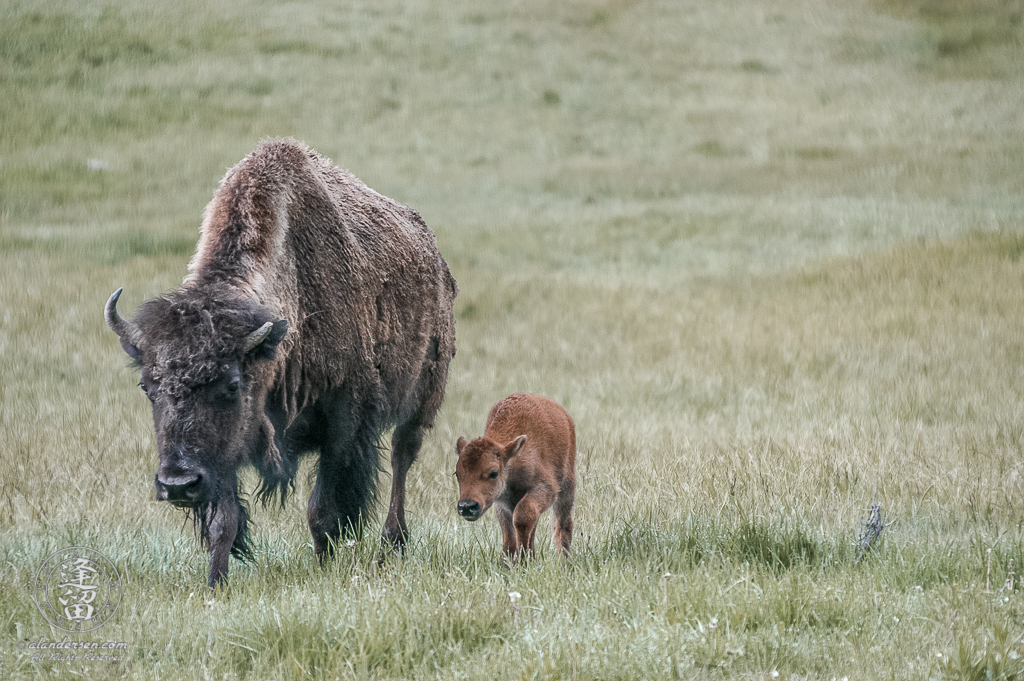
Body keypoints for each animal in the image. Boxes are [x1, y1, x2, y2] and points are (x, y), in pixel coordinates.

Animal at [104, 137, 456, 585]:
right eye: (147, 387)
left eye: (232, 385)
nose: (178, 484)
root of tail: (433, 255)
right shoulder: (224, 455)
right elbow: (224, 520)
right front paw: (215, 582)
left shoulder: (344, 423)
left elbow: (323, 511)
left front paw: (324, 567)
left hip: (423, 397)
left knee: (401, 457)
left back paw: (391, 544)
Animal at [456, 391, 577, 561]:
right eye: (457, 473)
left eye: (494, 473)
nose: (467, 506)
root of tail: (564, 415)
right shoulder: (501, 502)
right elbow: (508, 533)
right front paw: (509, 562)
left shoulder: (546, 488)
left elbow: (521, 518)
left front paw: (522, 559)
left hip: (567, 488)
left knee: (562, 525)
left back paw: (564, 560)